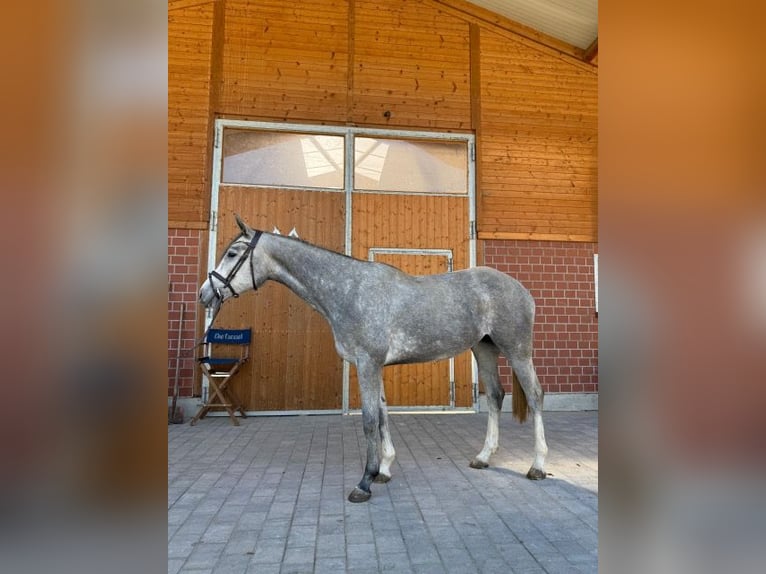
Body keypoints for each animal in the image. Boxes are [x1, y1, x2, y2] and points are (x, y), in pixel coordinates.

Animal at [199, 215, 548, 503]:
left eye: (233, 254)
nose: (204, 294)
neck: (348, 289)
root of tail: (521, 289)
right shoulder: (374, 366)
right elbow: (381, 415)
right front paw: (384, 469)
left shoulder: (367, 363)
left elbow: (368, 420)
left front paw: (364, 482)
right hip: (483, 349)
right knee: (495, 396)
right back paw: (484, 457)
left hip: (517, 349)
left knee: (534, 396)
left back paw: (537, 466)